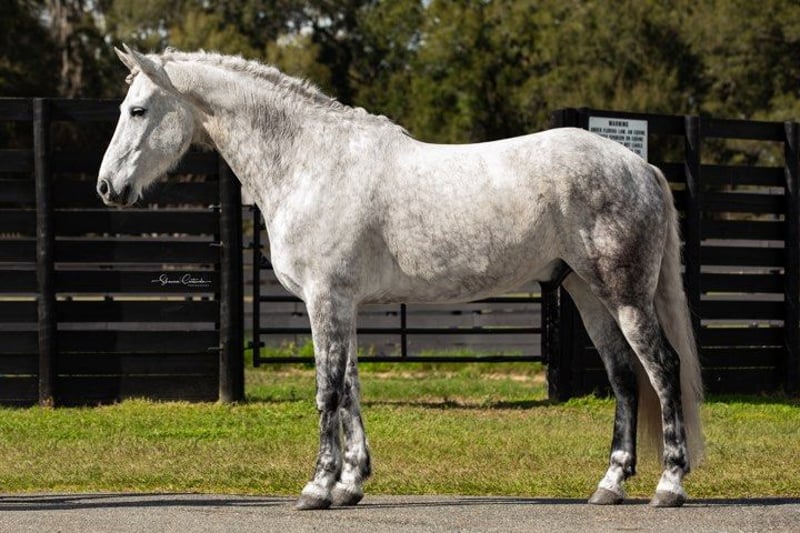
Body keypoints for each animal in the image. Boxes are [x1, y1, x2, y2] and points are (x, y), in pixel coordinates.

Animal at [98, 45, 704, 510]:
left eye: (138, 109)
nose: (107, 187)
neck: (311, 162)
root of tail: (640, 165)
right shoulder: (344, 305)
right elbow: (350, 390)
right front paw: (350, 485)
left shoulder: (325, 300)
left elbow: (327, 391)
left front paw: (316, 488)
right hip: (588, 294)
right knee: (624, 377)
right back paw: (610, 485)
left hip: (624, 296)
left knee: (662, 368)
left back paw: (669, 485)